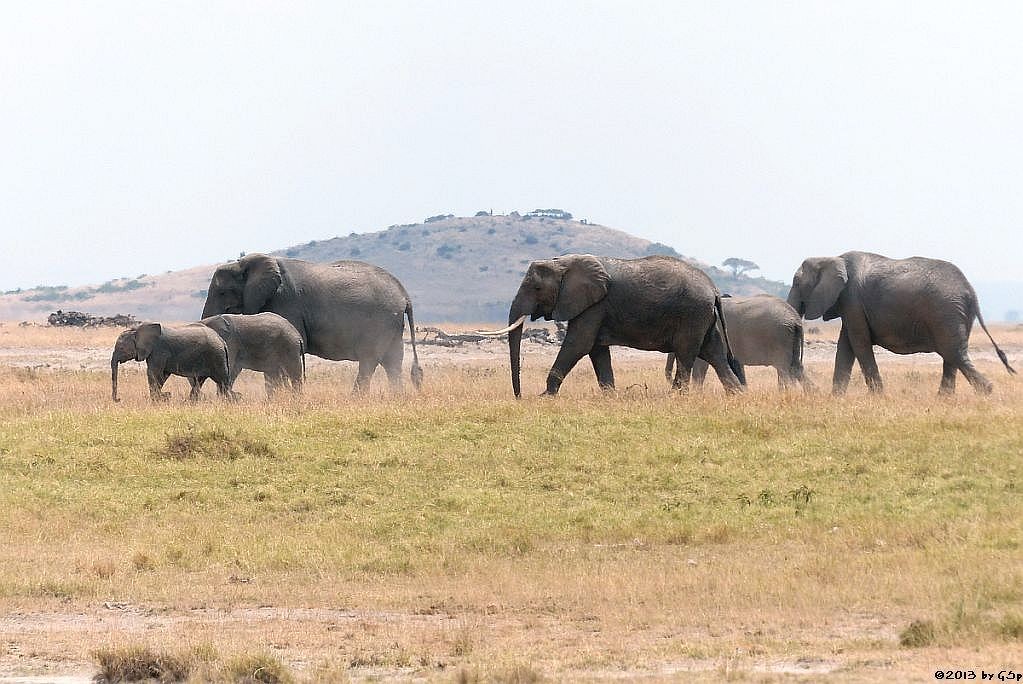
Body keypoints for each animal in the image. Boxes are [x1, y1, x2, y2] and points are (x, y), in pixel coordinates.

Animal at [199, 252, 423, 392]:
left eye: (222, 292)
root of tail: (404, 295)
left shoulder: (286, 302)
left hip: (379, 321)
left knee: (370, 361)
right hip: (392, 324)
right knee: (392, 363)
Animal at [478, 253, 744, 394]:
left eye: (536, 288)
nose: (520, 397)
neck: (564, 263)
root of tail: (714, 290)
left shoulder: (594, 306)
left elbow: (579, 345)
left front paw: (545, 397)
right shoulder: (594, 308)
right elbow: (596, 350)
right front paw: (610, 397)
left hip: (692, 315)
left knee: (687, 353)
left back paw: (675, 397)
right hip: (703, 319)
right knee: (715, 354)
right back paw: (737, 396)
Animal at [662, 292, 814, 388]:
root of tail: (796, 319)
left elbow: (701, 367)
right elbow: (737, 366)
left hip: (780, 338)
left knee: (784, 369)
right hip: (789, 339)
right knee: (796, 368)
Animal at [785, 249, 1010, 394]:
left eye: (796, 283)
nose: (816, 393)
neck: (832, 258)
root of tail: (971, 291)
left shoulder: (852, 300)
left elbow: (859, 344)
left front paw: (877, 397)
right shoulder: (850, 305)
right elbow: (846, 346)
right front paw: (837, 398)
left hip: (946, 312)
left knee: (953, 352)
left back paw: (985, 392)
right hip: (953, 314)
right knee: (952, 354)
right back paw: (947, 399)